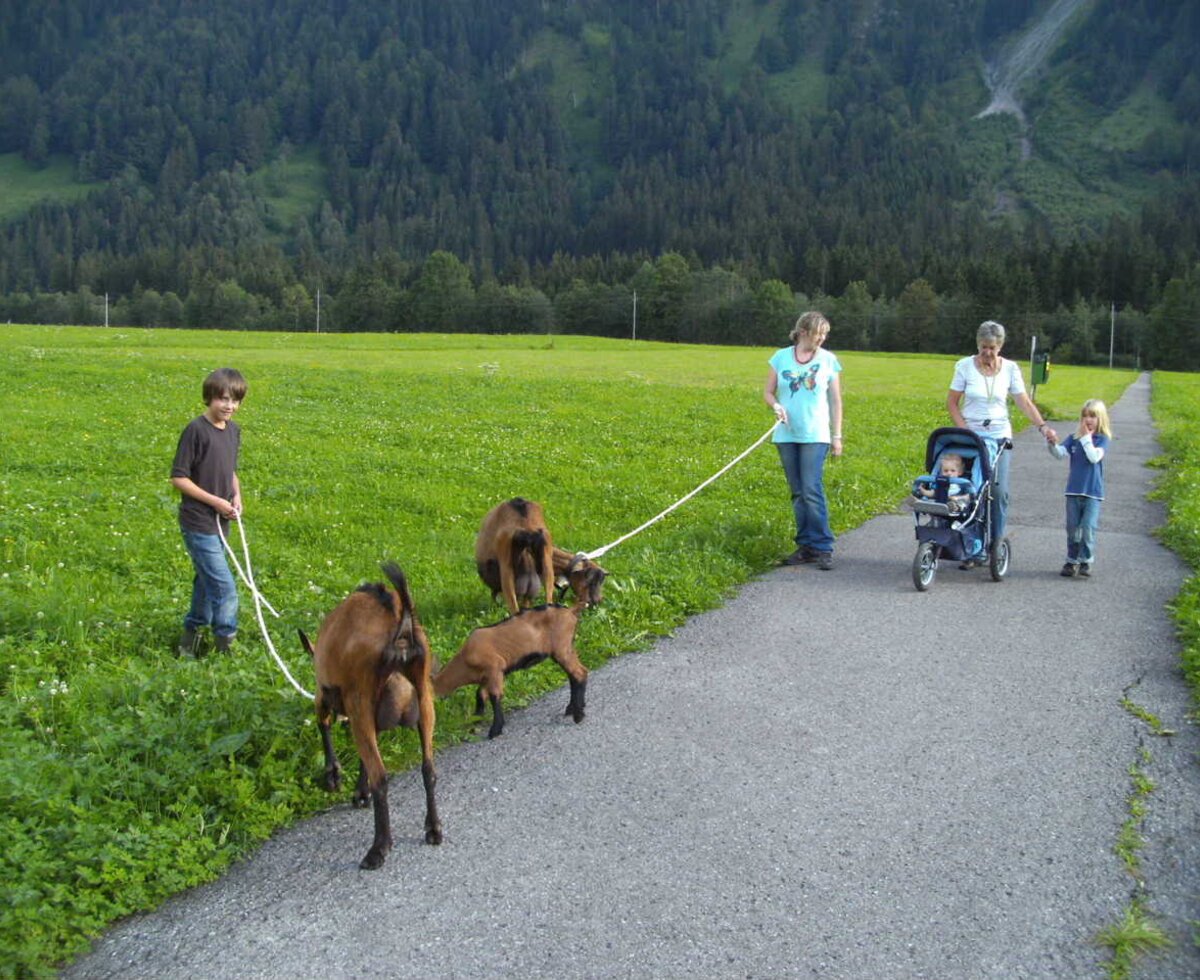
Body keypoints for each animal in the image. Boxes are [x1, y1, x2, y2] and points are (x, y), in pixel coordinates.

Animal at [298, 562, 442, 870]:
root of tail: (400, 623)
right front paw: (358, 791)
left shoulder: (326, 696)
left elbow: (324, 725)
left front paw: (334, 777)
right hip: (424, 696)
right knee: (428, 768)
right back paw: (434, 828)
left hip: (359, 697)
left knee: (382, 778)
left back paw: (379, 848)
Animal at [432, 592, 594, 740]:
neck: (465, 659)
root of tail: (570, 611)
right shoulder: (487, 676)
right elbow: (480, 694)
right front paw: (476, 721)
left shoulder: (494, 667)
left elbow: (494, 695)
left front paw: (495, 729)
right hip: (566, 648)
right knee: (577, 673)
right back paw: (572, 708)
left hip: (561, 648)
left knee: (578, 673)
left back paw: (578, 715)